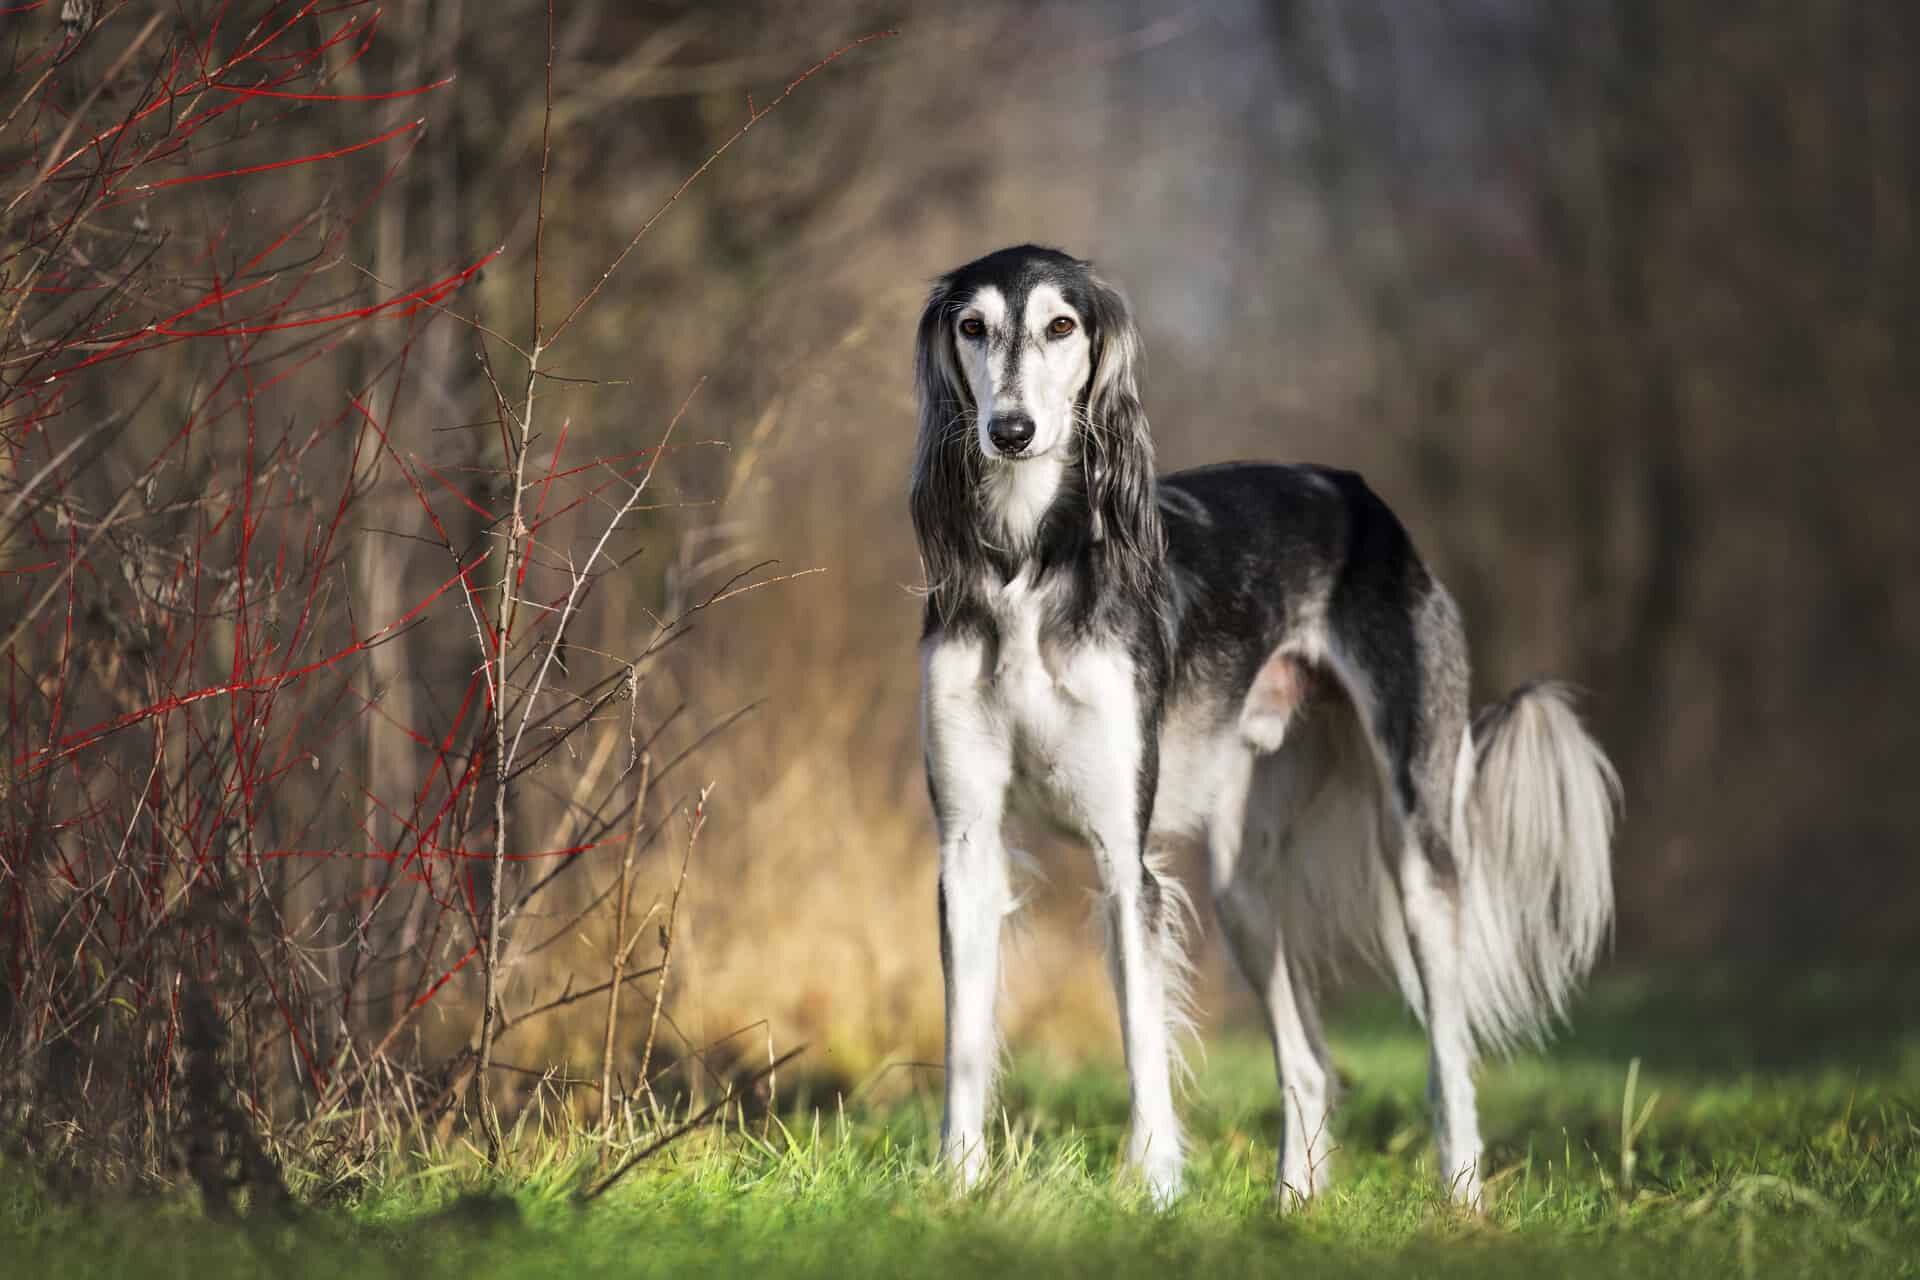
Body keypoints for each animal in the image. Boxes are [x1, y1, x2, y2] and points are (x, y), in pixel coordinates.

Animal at [913, 242, 1620, 1212]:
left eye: (1062, 325)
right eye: (972, 326)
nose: (1011, 430)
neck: (1030, 565)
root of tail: (1358, 494)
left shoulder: (1122, 854)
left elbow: (1143, 1041)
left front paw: (1157, 1193)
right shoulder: (968, 845)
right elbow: (965, 1043)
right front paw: (958, 1187)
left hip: (1417, 840)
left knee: (1449, 1058)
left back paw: (1463, 1198)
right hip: (1242, 882)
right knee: (1311, 1064)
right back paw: (1294, 1208)